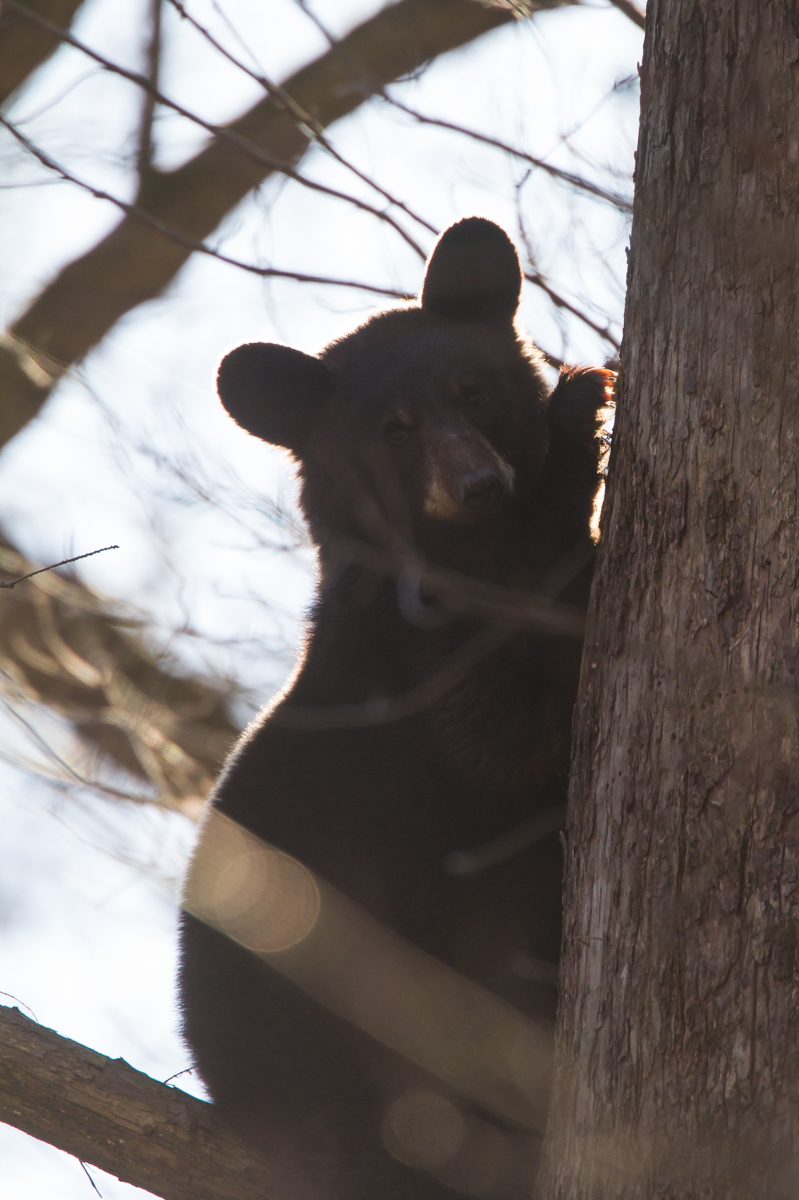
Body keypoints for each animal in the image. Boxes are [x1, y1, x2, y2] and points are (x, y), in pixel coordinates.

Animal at [178, 217, 613, 1200]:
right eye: (394, 430)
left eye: (471, 393)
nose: (477, 483)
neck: (461, 559)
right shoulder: (412, 666)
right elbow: (508, 732)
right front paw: (580, 426)